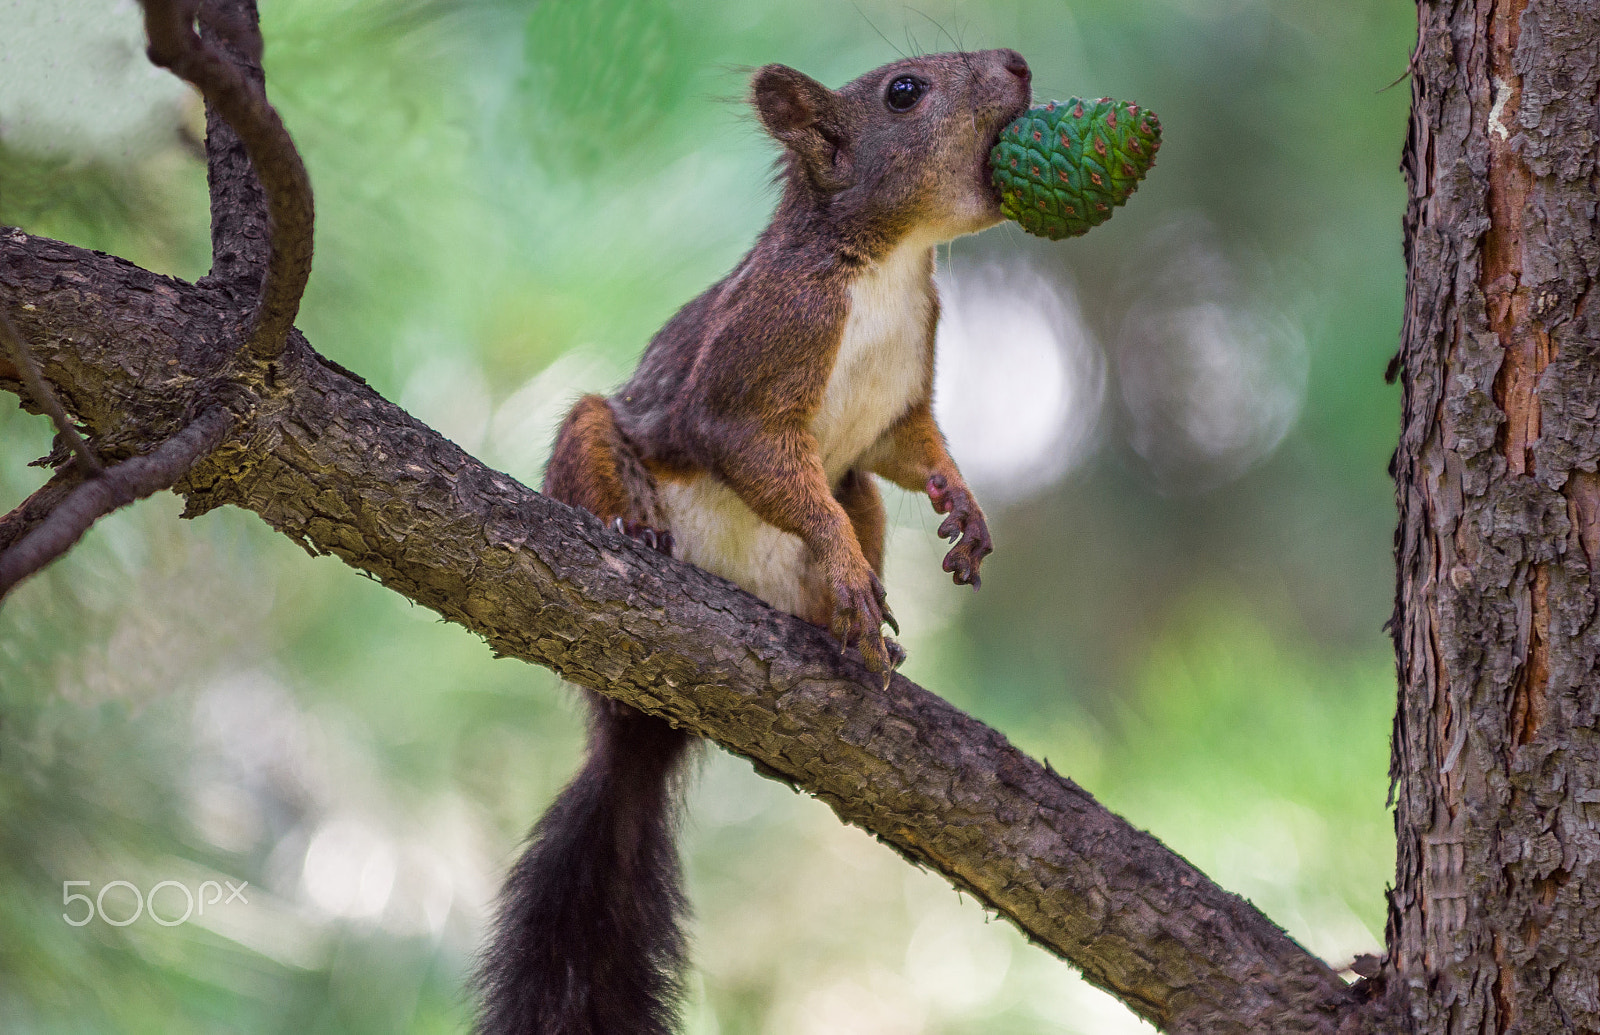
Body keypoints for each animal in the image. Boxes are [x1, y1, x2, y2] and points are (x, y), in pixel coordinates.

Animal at [477, 48, 1033, 1035]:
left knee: (857, 498)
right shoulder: (763, 342)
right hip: (595, 441)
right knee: (601, 437)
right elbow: (739, 438)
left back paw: (850, 628)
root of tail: (642, 711)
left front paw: (963, 506)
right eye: (905, 92)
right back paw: (638, 531)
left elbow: (909, 448)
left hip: (850, 501)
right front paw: (845, 562)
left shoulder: (903, 397)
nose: (1017, 63)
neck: (894, 261)